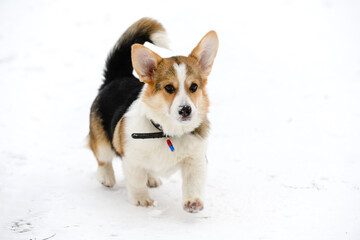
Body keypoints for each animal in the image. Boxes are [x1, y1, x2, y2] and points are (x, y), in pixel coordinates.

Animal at [88, 17, 218, 213]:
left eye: (194, 86)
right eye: (169, 88)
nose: (185, 110)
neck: (168, 132)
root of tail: (117, 77)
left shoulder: (195, 160)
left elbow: (193, 183)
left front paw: (193, 202)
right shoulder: (132, 160)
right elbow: (136, 182)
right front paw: (142, 200)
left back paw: (151, 178)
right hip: (102, 142)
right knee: (102, 158)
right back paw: (106, 177)